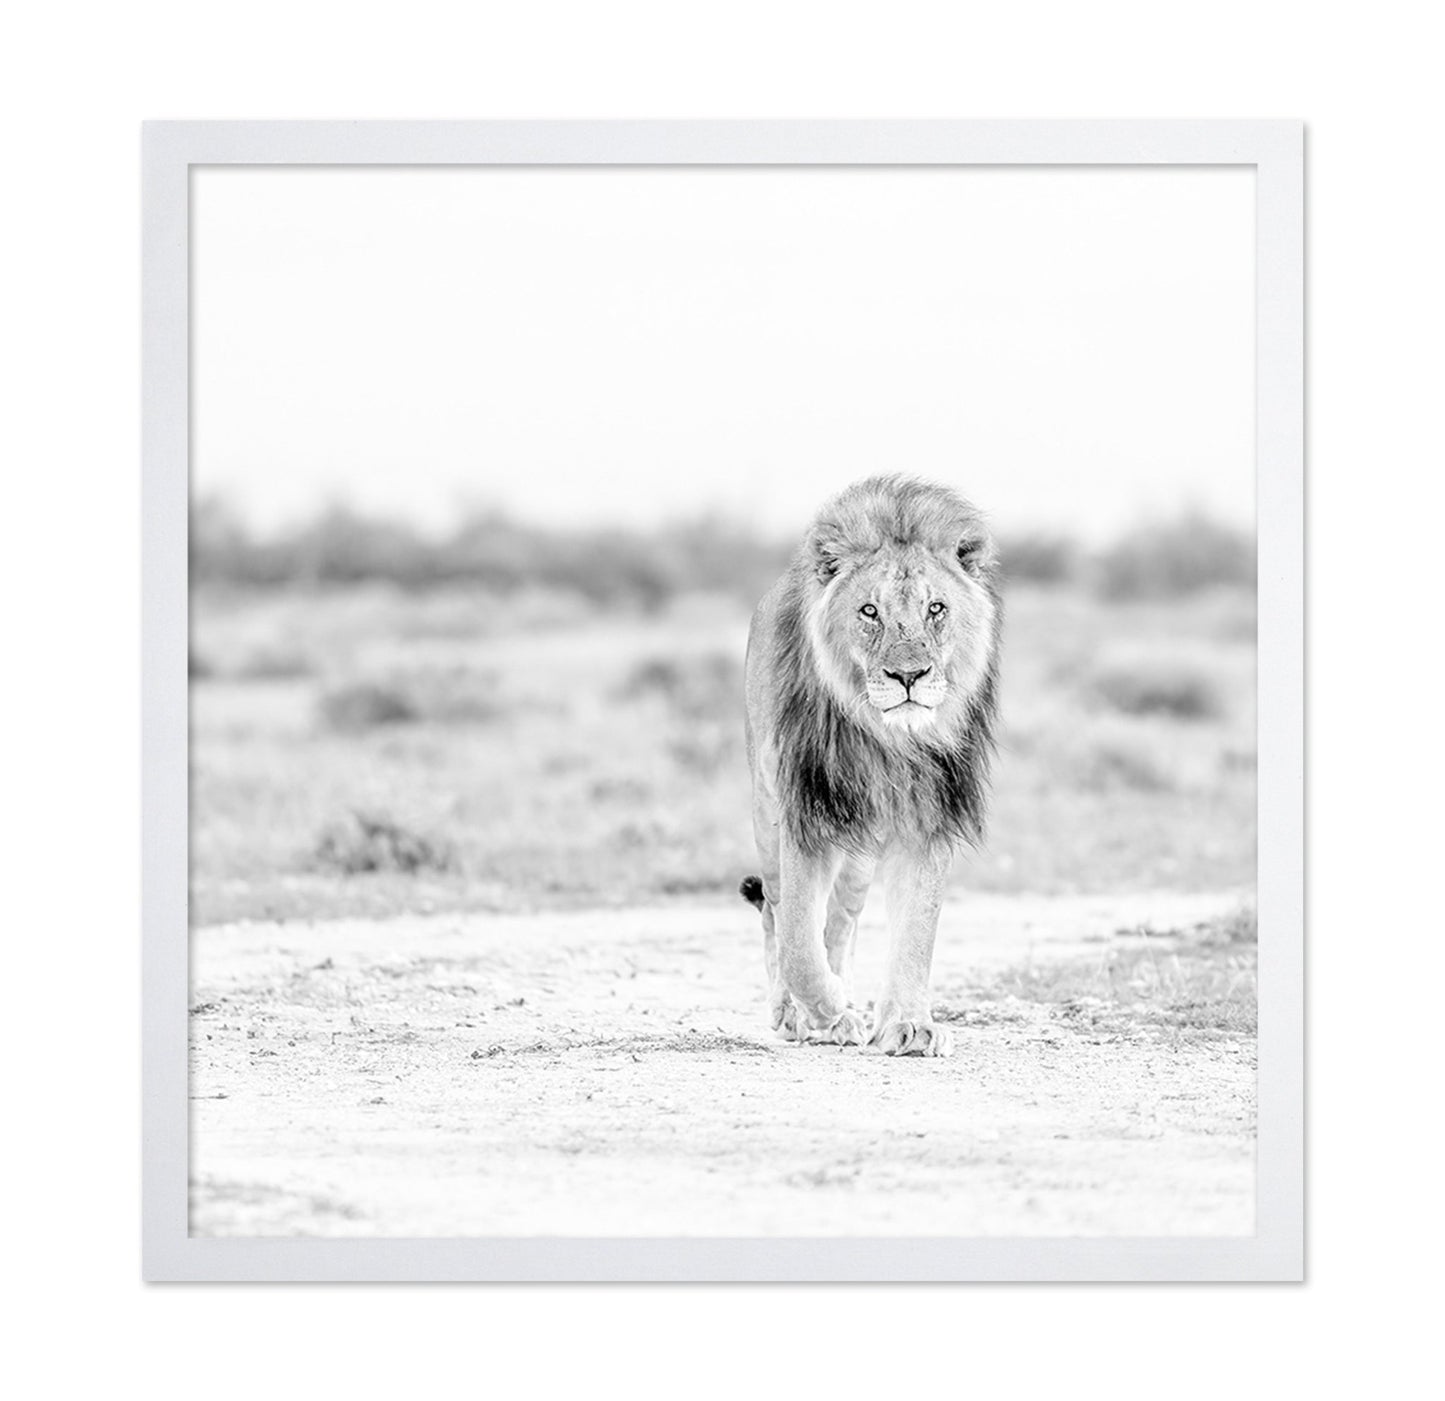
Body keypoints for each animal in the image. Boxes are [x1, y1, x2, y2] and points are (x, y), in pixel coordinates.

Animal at [740, 475, 1001, 1057]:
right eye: (869, 612)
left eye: (935, 608)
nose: (909, 676)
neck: (887, 741)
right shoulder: (806, 812)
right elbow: (797, 944)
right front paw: (827, 1011)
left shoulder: (928, 818)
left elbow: (916, 933)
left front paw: (909, 1024)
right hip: (768, 816)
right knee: (775, 910)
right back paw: (799, 1013)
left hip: (859, 853)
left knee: (841, 920)